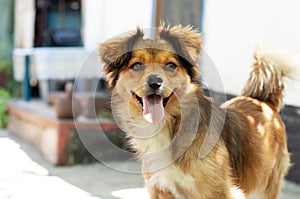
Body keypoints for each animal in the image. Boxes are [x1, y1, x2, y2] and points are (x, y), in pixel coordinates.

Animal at [99, 24, 292, 199]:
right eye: (137, 65)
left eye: (170, 65)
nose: (155, 82)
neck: (168, 127)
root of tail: (261, 99)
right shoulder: (161, 189)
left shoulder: (220, 192)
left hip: (268, 185)